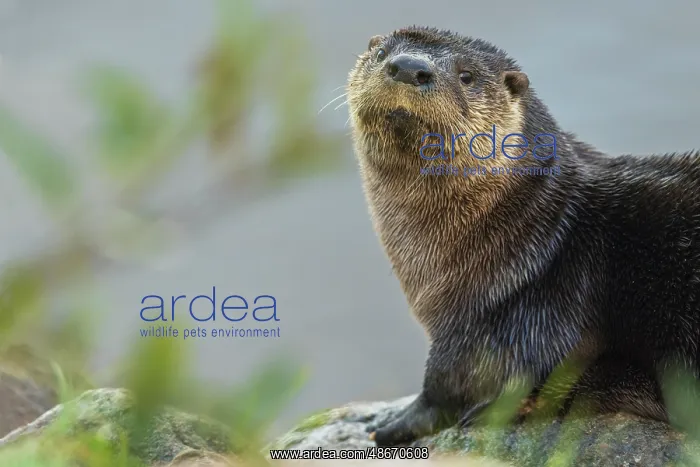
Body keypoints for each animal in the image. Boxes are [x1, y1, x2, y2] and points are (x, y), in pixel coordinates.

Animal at [346, 26, 700, 447]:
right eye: (383, 53)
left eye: (467, 76)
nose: (409, 67)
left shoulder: (512, 318)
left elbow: (449, 382)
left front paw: (396, 421)